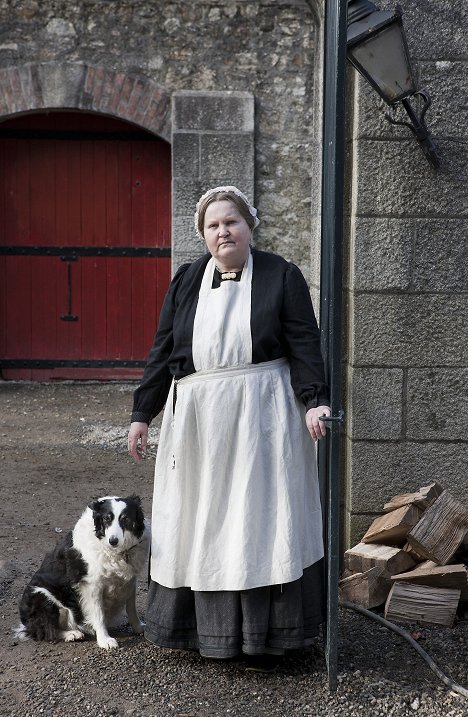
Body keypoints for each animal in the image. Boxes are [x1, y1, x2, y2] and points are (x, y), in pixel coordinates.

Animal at [15, 496, 150, 648]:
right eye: (106, 519)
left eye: (125, 519)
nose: (113, 541)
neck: (114, 551)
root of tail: (25, 623)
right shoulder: (92, 585)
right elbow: (98, 614)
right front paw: (104, 640)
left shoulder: (130, 581)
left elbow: (132, 608)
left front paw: (139, 627)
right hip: (42, 594)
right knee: (44, 630)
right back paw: (71, 634)